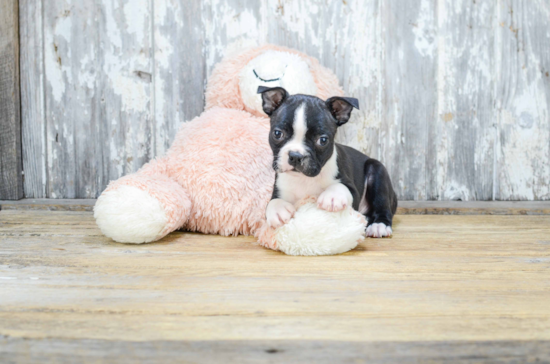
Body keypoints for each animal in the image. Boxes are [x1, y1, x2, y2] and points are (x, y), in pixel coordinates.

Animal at [260, 86, 398, 239]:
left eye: (323, 140)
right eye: (277, 133)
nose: (296, 156)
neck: (305, 179)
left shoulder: (354, 192)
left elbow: (341, 187)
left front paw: (332, 196)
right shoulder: (280, 189)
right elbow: (271, 202)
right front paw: (277, 209)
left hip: (377, 171)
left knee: (382, 205)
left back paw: (379, 225)